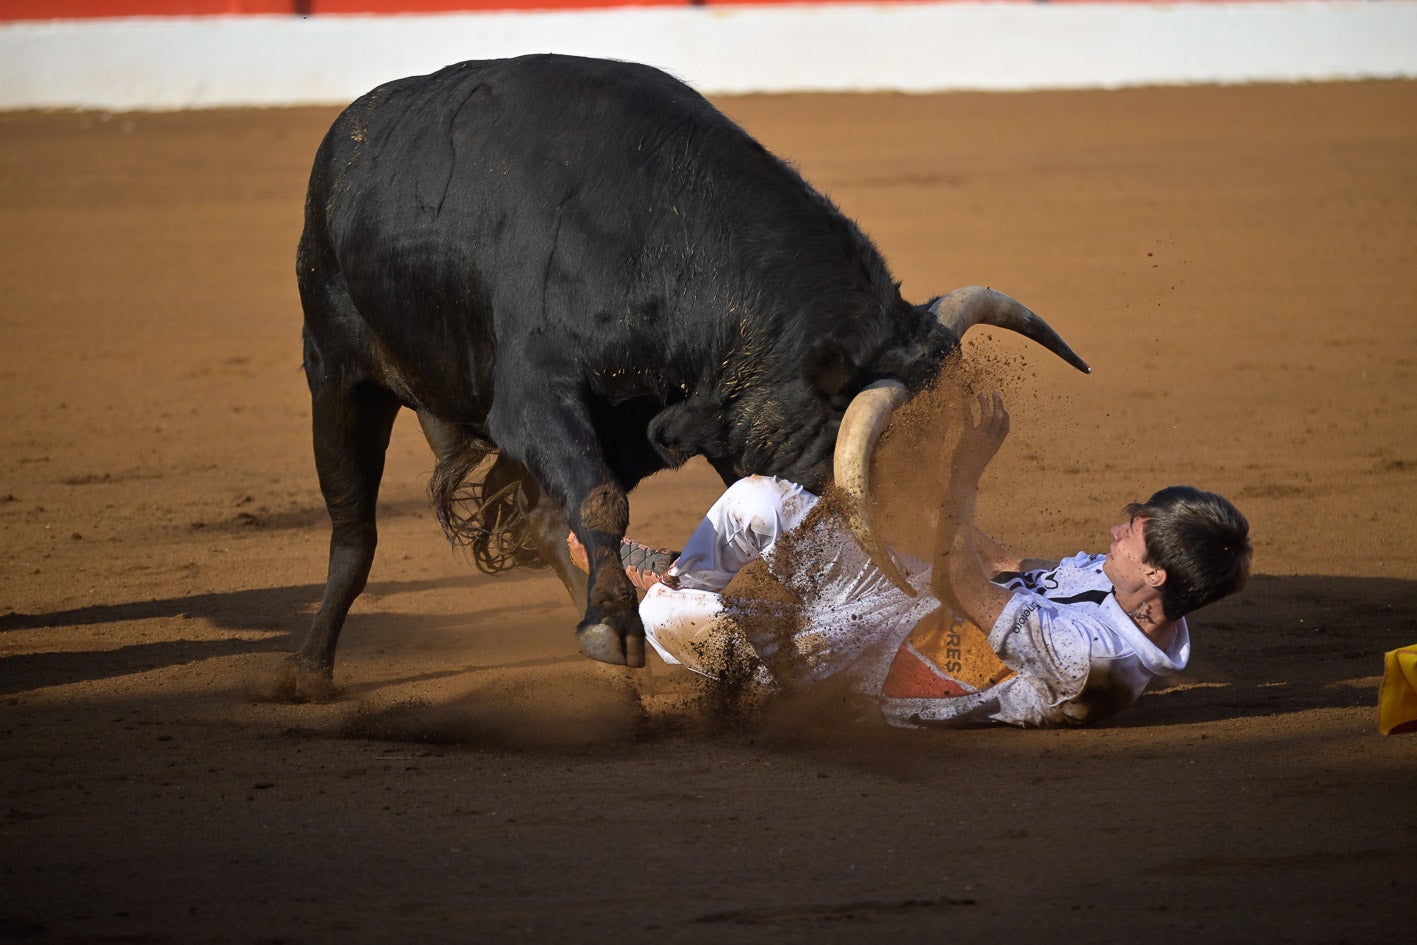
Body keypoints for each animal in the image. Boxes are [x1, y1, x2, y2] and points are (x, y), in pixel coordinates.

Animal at [284, 53, 1082, 694]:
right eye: (886, 470)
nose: (943, 572)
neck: (662, 236)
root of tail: (348, 134)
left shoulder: (676, 424)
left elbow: (581, 507)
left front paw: (619, 625)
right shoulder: (533, 398)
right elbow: (601, 501)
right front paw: (616, 626)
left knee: (539, 518)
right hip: (336, 372)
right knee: (355, 529)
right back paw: (311, 668)